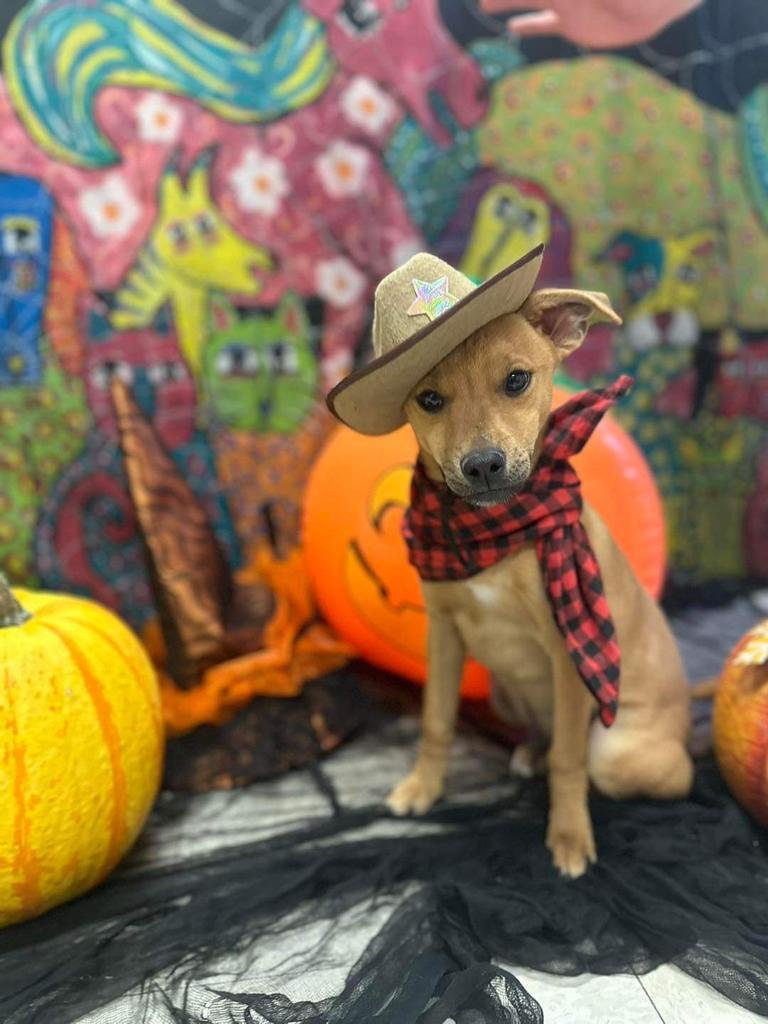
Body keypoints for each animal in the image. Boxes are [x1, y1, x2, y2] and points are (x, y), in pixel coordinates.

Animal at [387, 290, 696, 880]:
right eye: (430, 399)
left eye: (516, 381)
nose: (483, 466)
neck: (493, 535)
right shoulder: (443, 632)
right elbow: (437, 719)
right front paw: (421, 788)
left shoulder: (568, 650)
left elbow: (568, 761)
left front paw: (569, 838)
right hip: (505, 692)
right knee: (540, 734)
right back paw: (528, 750)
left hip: (619, 752)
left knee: (665, 772)